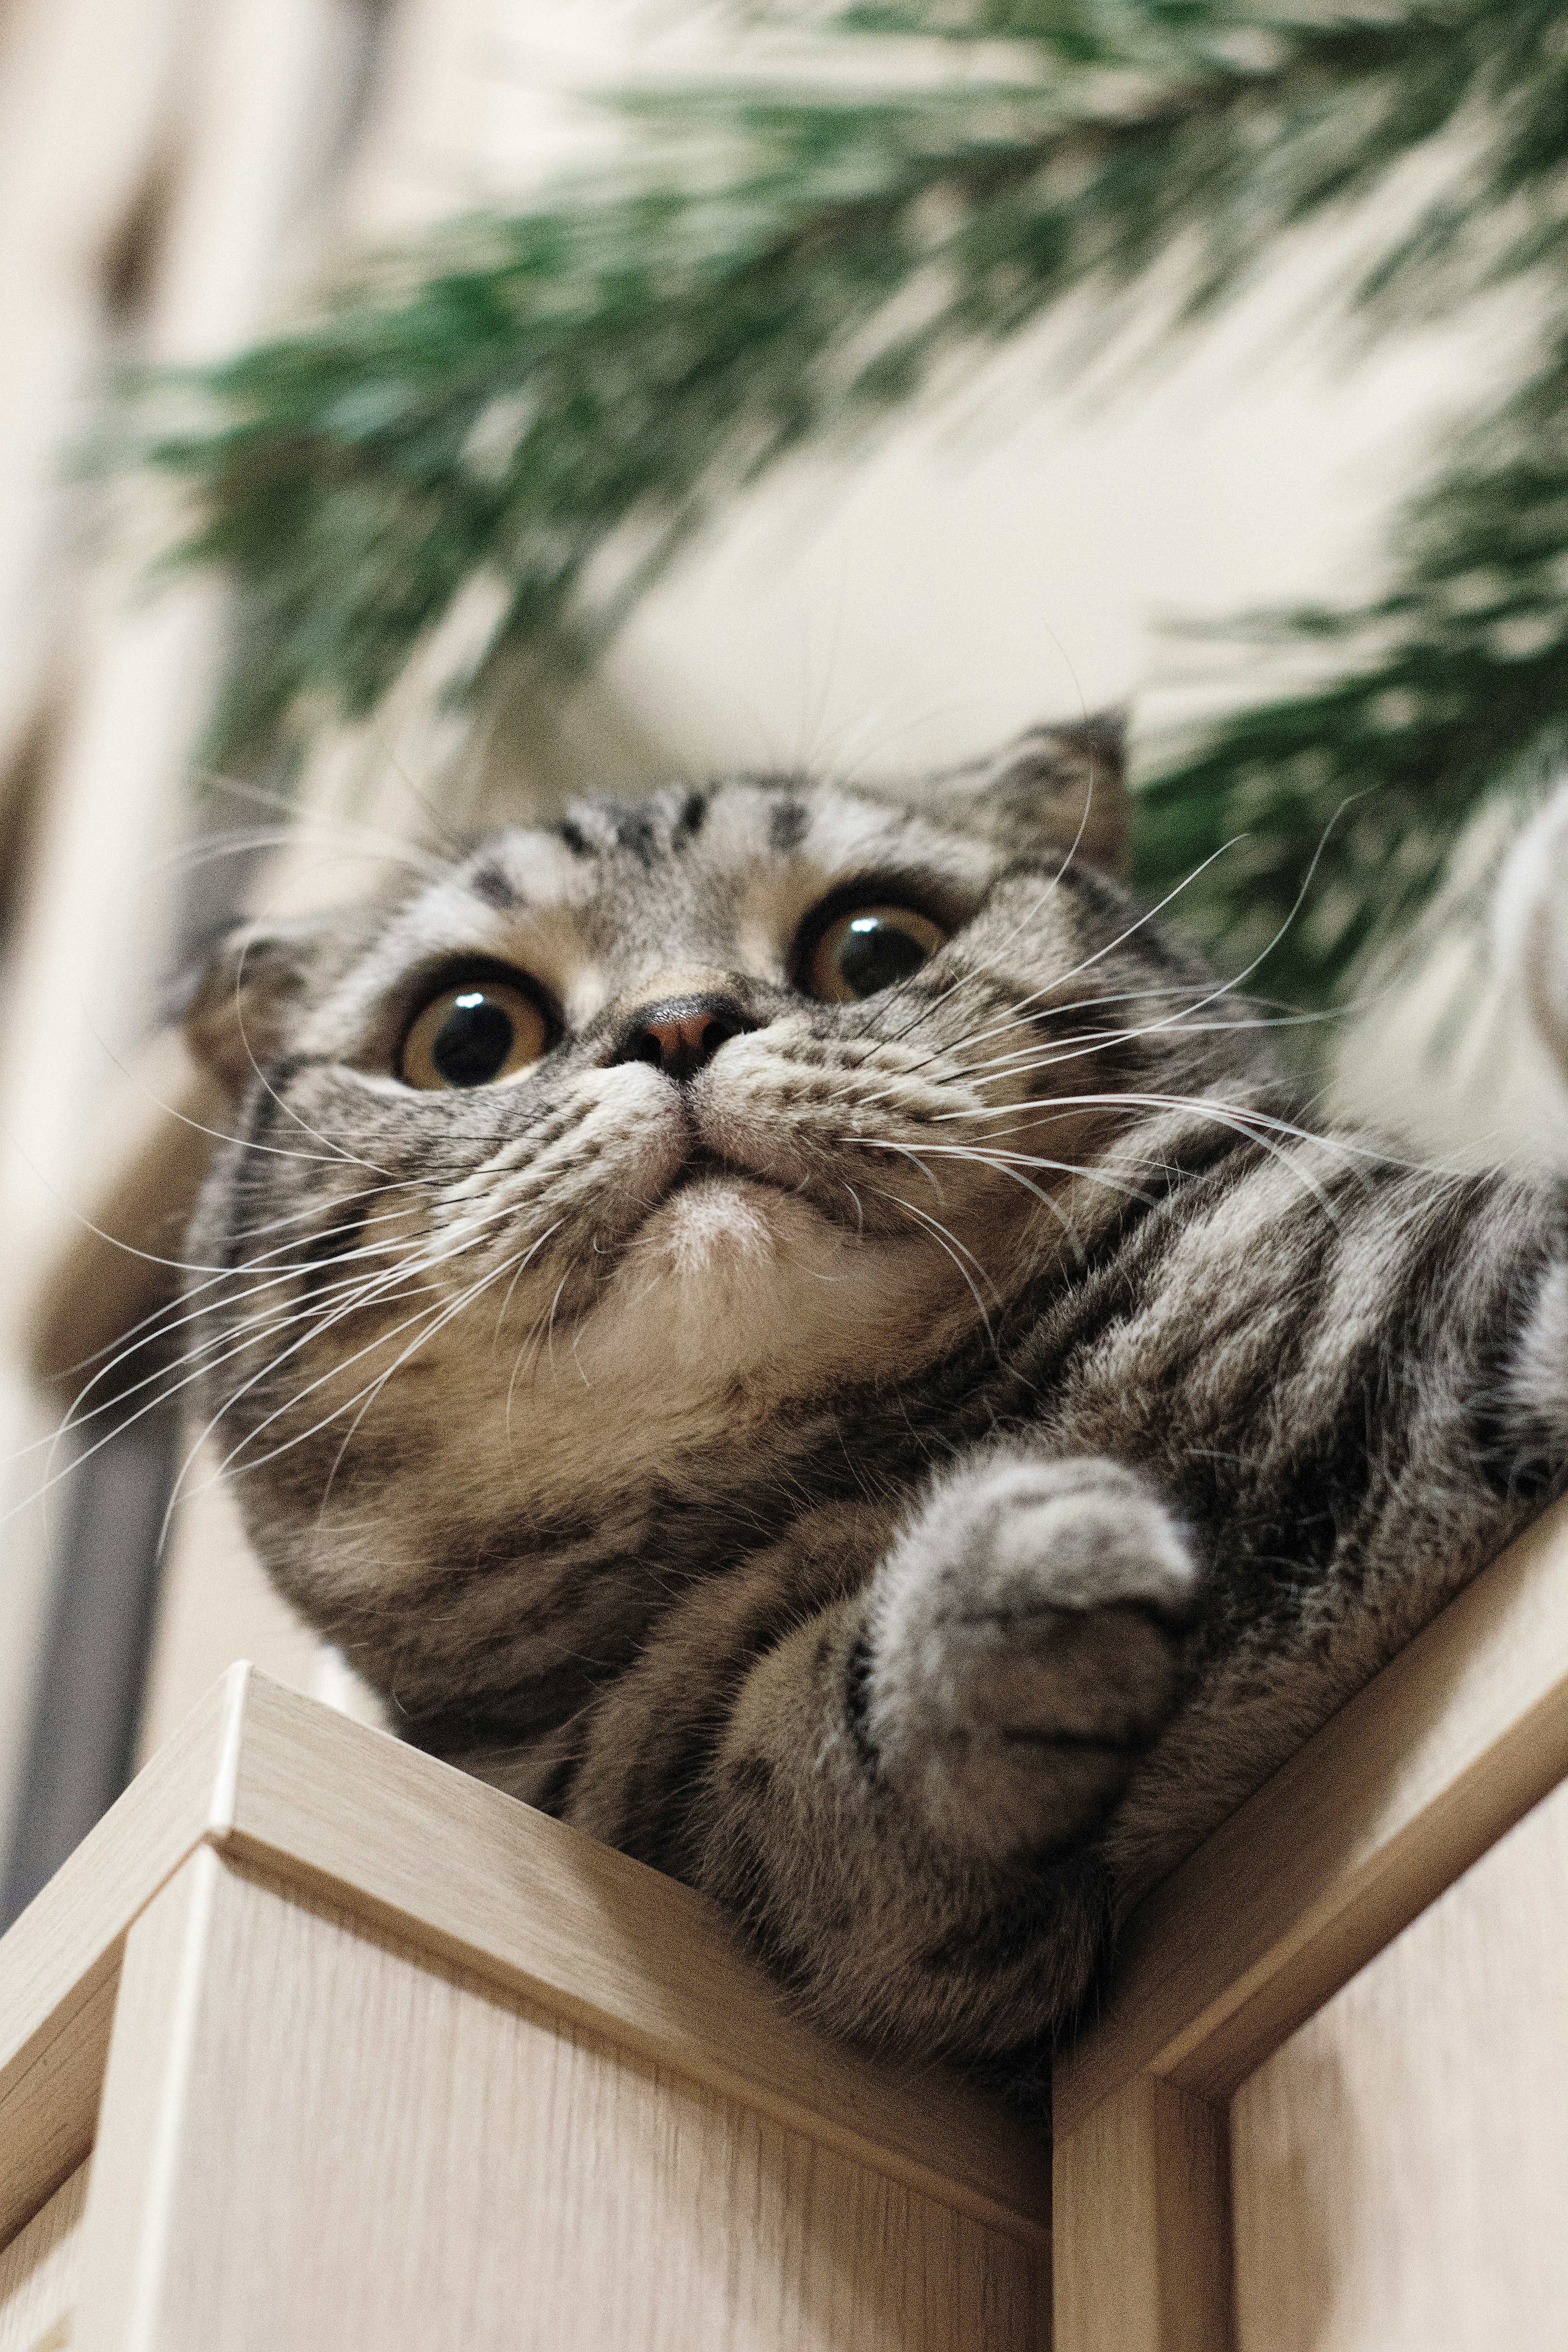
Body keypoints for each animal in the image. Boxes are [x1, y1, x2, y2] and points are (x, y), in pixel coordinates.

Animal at [177, 719, 1568, 2098]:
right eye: (468, 1037)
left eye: (873, 947)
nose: (679, 1020)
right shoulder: (671, 1805)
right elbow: (791, 1777)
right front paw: (983, 1602)